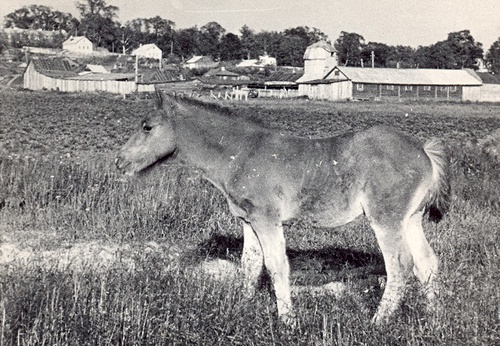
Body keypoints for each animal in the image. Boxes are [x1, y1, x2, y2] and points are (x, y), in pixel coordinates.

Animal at [115, 90, 452, 326]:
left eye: (147, 127)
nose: (120, 161)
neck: (242, 154)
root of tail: (424, 150)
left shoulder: (267, 220)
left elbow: (276, 265)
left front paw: (288, 321)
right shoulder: (248, 221)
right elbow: (250, 265)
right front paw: (242, 309)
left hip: (386, 219)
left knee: (400, 265)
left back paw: (378, 322)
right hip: (411, 219)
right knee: (427, 263)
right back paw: (433, 318)